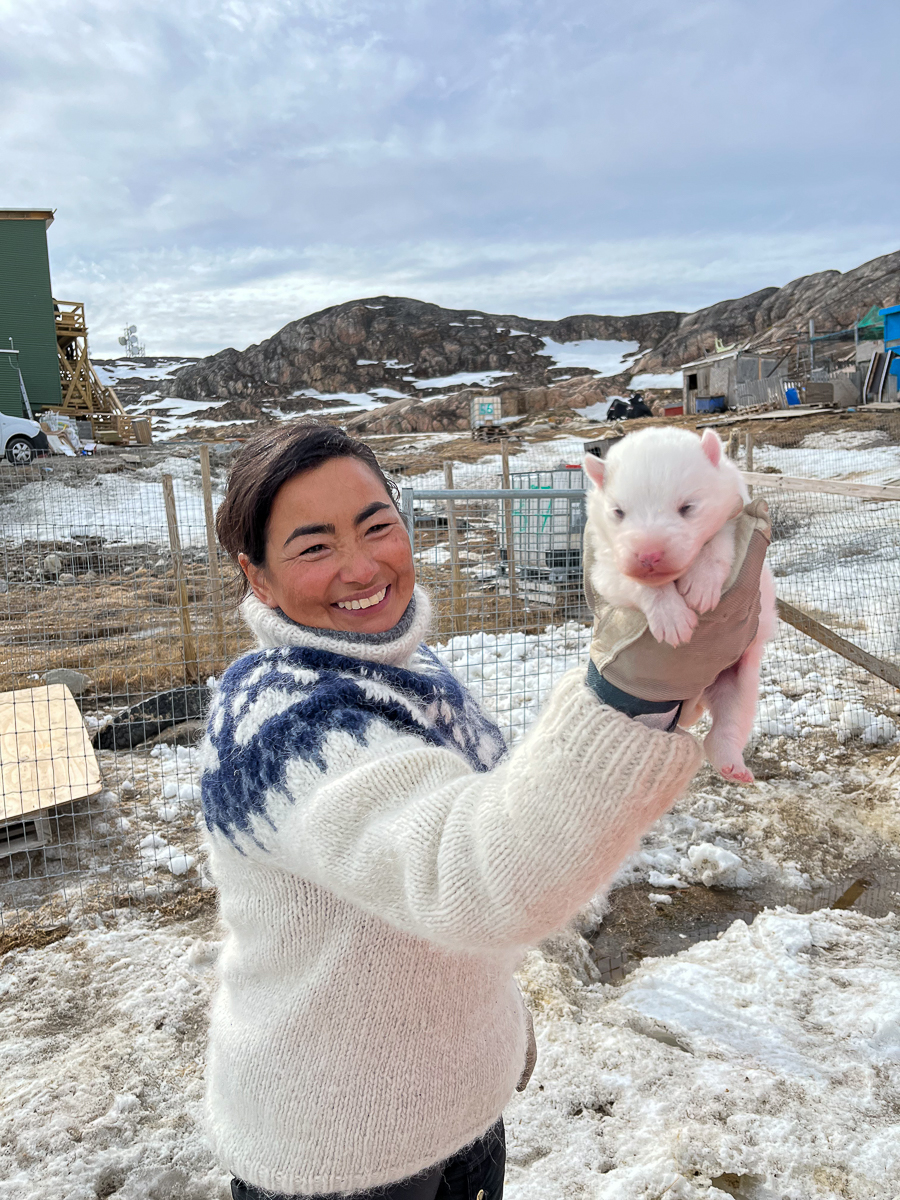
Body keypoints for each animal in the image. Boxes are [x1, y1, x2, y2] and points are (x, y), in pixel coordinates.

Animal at [588, 427, 777, 782]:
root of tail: (697, 698)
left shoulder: (735, 517)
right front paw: (672, 618)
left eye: (687, 507)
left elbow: (720, 543)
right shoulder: (605, 567)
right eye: (618, 512)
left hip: (743, 681)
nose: (648, 554)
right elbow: (641, 585)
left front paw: (701, 585)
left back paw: (733, 765)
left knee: (729, 723)